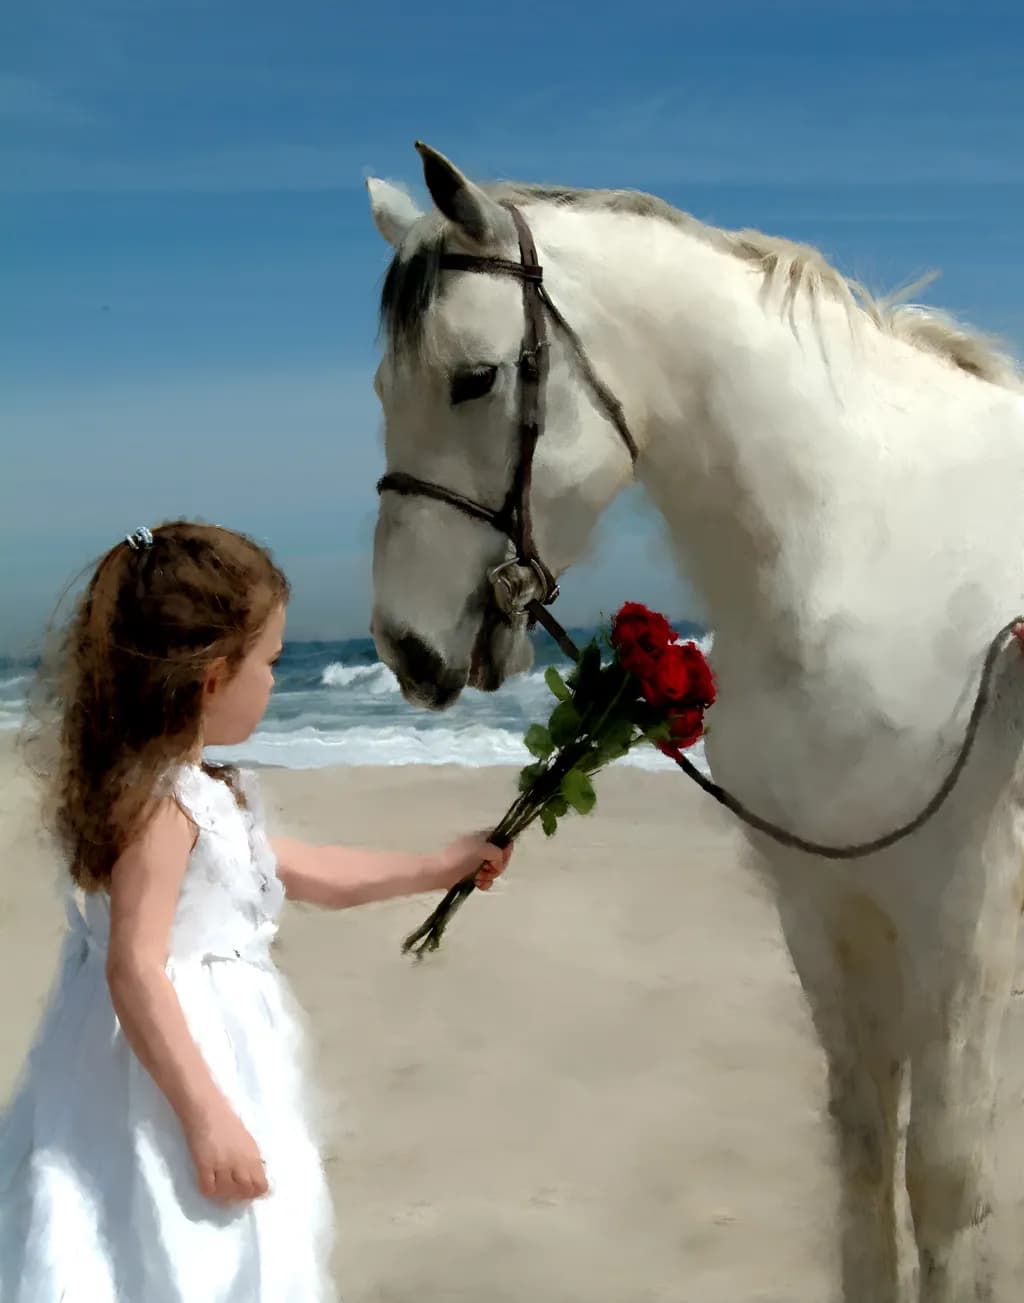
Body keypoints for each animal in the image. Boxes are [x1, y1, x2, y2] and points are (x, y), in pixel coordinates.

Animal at [364, 141, 1024, 1302]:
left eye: (473, 378)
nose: (403, 646)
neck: (870, 543)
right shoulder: (824, 903)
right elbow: (863, 1153)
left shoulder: (963, 913)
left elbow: (946, 1180)